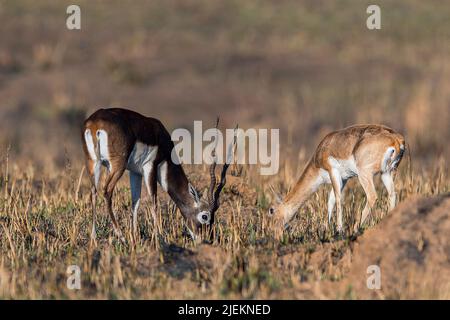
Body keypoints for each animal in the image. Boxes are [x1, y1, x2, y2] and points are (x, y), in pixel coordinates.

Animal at [81, 107, 236, 240]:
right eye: (205, 216)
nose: (206, 238)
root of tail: (95, 123)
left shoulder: (135, 172)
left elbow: (135, 202)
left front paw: (135, 235)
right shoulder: (150, 166)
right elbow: (153, 200)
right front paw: (158, 235)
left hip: (93, 163)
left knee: (93, 192)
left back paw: (94, 236)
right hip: (117, 165)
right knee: (107, 191)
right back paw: (121, 235)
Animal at [268, 124, 406, 235]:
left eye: (271, 211)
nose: (274, 234)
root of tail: (396, 140)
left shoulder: (333, 172)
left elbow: (338, 199)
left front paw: (339, 229)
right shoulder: (344, 179)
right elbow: (331, 201)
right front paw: (326, 228)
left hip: (364, 174)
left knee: (372, 196)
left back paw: (355, 228)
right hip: (387, 173)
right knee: (392, 194)